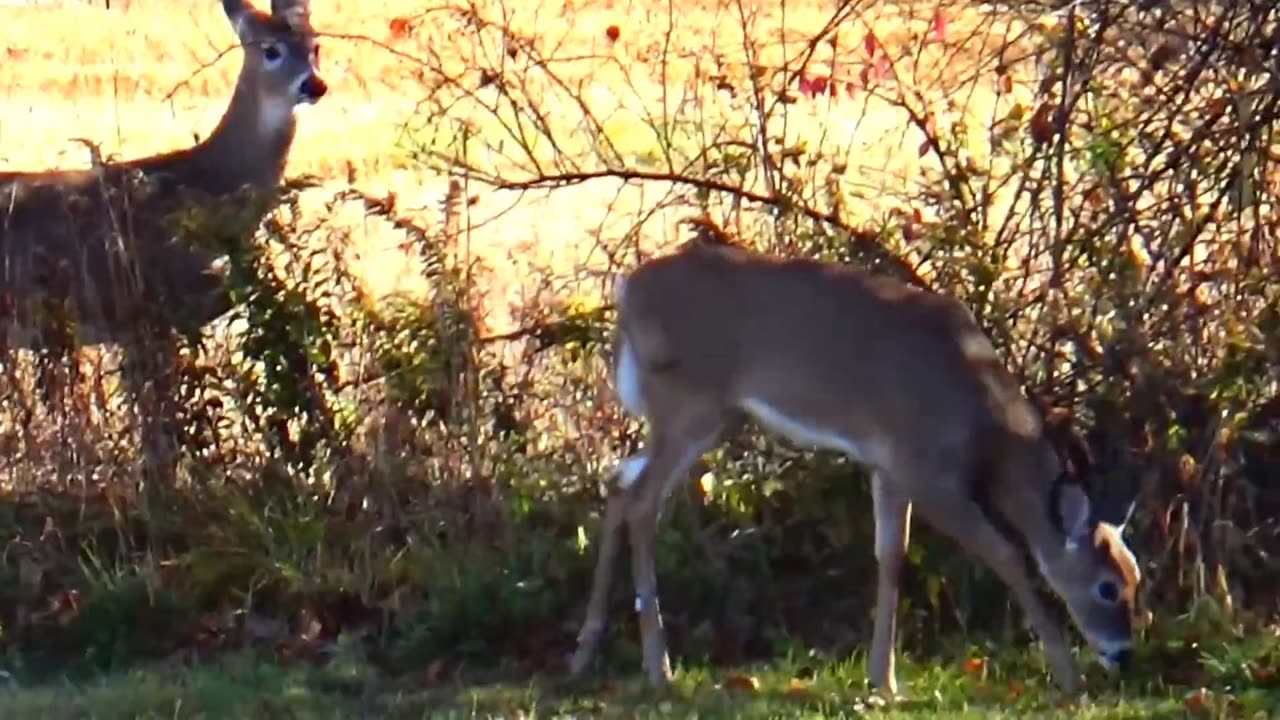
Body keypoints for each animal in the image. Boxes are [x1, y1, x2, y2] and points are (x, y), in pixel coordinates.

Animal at [0, 1, 327, 481]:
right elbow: (160, 432)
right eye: (270, 50)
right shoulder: (146, 310)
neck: (207, 182)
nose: (314, 84)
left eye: (315, 45)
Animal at [568, 219, 1141, 696]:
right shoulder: (927, 470)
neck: (984, 422)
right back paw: (657, 668)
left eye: (1137, 577)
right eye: (1107, 587)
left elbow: (891, 556)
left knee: (618, 483)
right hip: (689, 402)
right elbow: (1007, 554)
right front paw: (1067, 675)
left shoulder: (888, 466)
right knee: (642, 503)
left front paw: (883, 680)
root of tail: (627, 290)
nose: (1123, 654)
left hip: (703, 416)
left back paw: (584, 653)